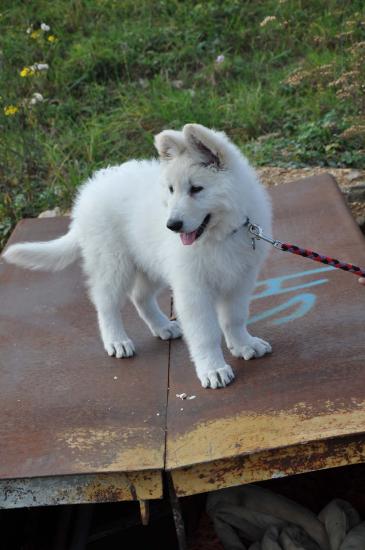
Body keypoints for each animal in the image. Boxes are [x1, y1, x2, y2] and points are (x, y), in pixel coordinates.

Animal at [2, 126, 270, 392]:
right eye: (171, 190)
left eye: (196, 189)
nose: (171, 226)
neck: (219, 236)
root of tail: (89, 192)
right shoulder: (192, 289)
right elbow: (205, 333)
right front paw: (213, 369)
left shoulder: (240, 280)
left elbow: (235, 318)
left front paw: (244, 345)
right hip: (112, 263)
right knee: (105, 303)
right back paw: (116, 340)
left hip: (150, 261)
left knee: (139, 296)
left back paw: (162, 326)